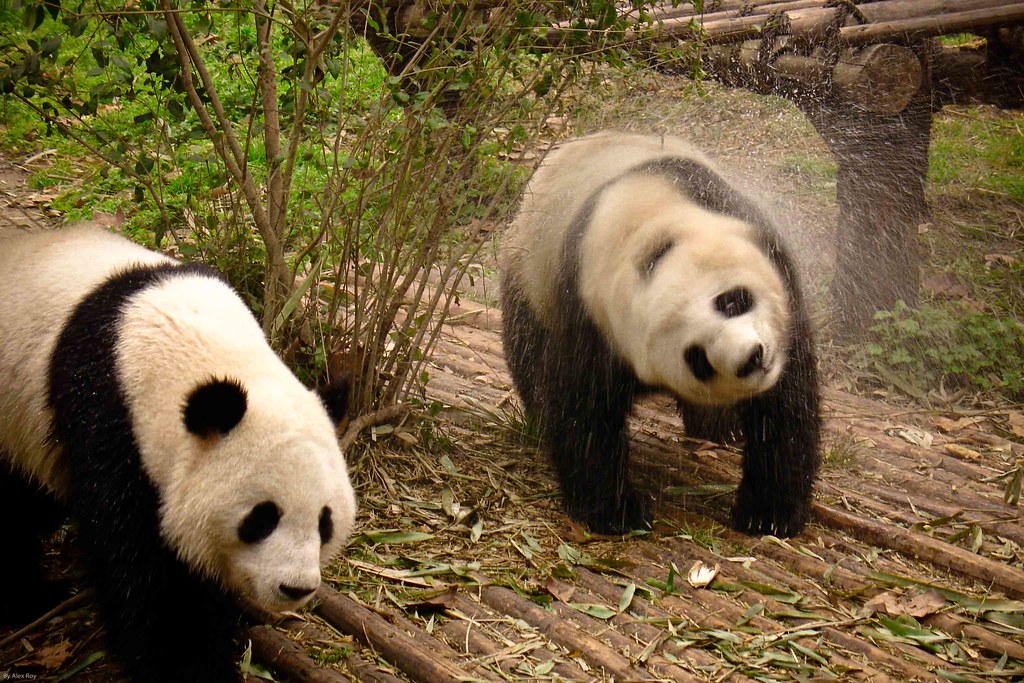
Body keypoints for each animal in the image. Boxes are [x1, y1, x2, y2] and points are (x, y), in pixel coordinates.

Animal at [0, 225, 357, 682]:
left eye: (325, 521)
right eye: (262, 518)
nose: (295, 587)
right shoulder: (110, 426)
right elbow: (145, 574)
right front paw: (193, 664)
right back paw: (32, 598)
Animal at [500, 131, 820, 538]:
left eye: (731, 302)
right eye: (697, 359)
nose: (752, 360)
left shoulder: (762, 249)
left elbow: (785, 410)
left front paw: (769, 514)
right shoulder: (586, 315)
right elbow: (584, 414)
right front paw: (617, 513)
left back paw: (719, 428)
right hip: (526, 276)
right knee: (526, 350)